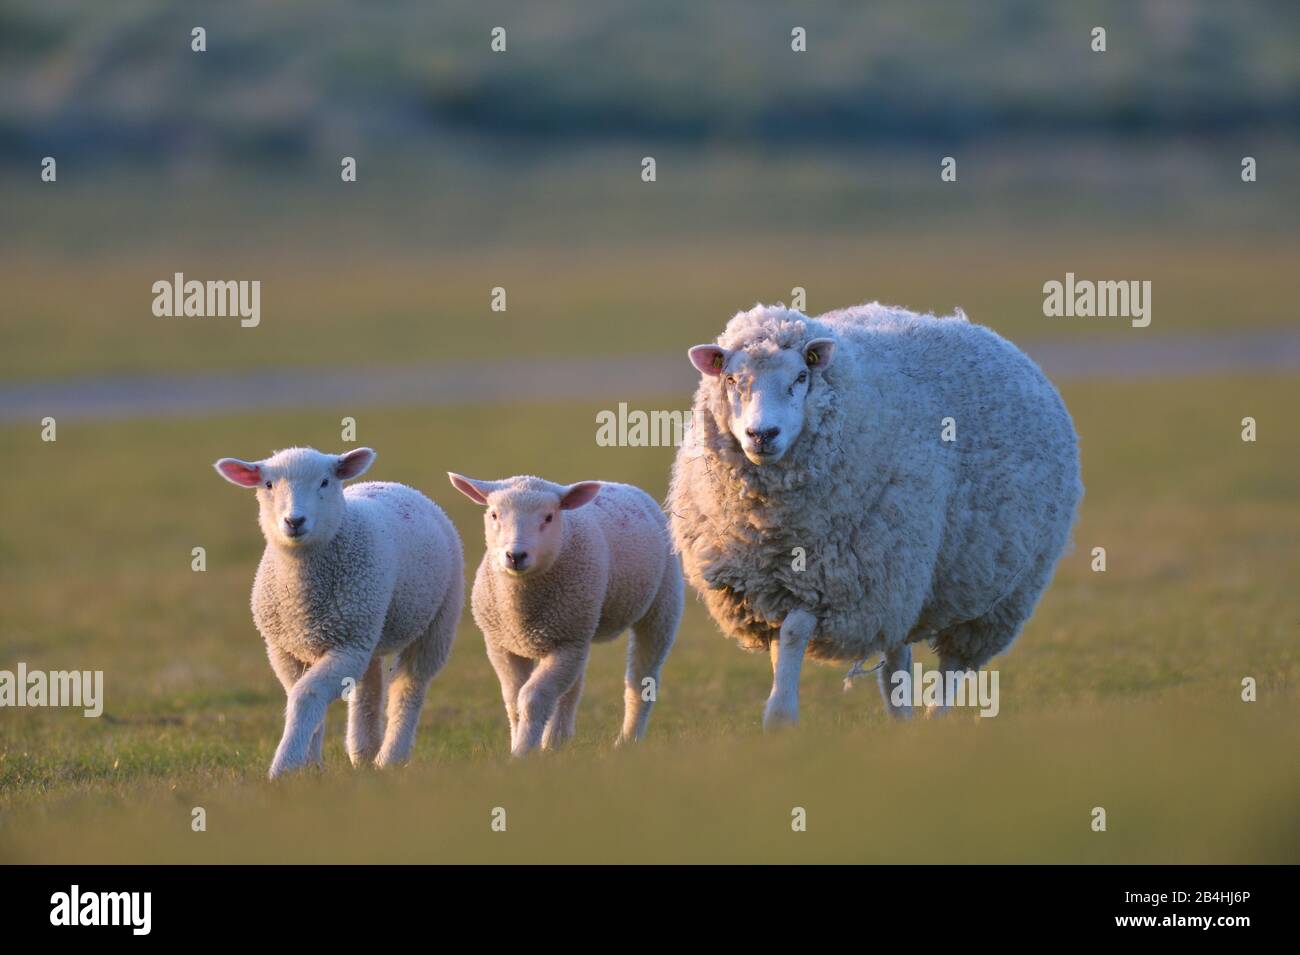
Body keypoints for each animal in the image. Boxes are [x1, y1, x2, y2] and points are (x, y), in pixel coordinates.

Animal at [218, 446, 467, 779]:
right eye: (268, 484)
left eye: (325, 482)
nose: (294, 520)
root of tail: (395, 485)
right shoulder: (284, 649)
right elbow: (301, 695)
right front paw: (310, 765)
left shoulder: (347, 645)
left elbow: (306, 695)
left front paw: (284, 765)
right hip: (369, 628)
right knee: (369, 687)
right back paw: (363, 753)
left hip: (436, 620)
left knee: (410, 686)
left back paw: (390, 757)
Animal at [449, 475, 681, 758]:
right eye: (494, 514)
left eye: (549, 517)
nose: (515, 555)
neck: (520, 611)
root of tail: (617, 483)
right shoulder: (501, 645)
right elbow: (514, 701)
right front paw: (522, 745)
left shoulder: (567, 642)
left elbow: (531, 699)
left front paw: (522, 753)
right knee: (572, 687)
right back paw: (556, 741)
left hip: (661, 606)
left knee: (641, 680)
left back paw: (627, 741)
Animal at [665, 302, 1081, 727]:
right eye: (732, 378)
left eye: (801, 377)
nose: (762, 435)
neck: (769, 527)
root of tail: (987, 334)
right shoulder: (764, 587)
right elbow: (784, 645)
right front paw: (781, 711)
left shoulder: (829, 582)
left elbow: (795, 633)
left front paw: (780, 714)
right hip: (902, 585)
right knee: (897, 654)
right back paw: (901, 716)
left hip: (995, 593)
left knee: (954, 665)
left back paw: (935, 718)